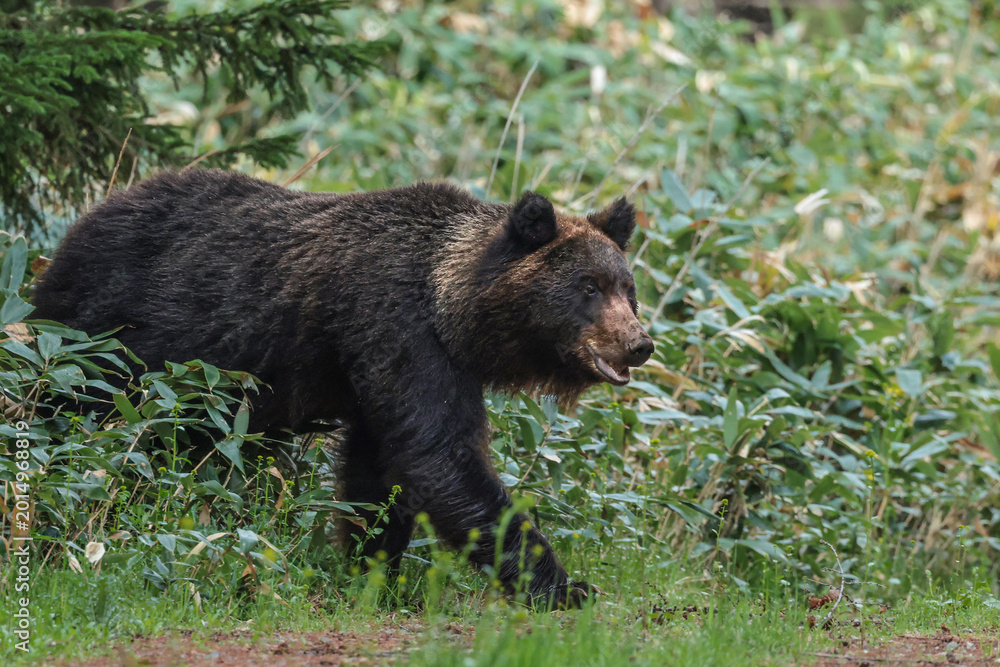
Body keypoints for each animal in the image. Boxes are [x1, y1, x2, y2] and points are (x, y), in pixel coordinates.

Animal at [31, 169, 654, 608]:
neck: (452, 310)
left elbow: (379, 472)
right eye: (588, 287)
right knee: (73, 415)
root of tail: (79, 223)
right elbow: (443, 457)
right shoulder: (395, 326)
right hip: (110, 338)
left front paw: (371, 568)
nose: (639, 343)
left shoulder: (387, 370)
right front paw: (563, 586)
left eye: (628, 288)